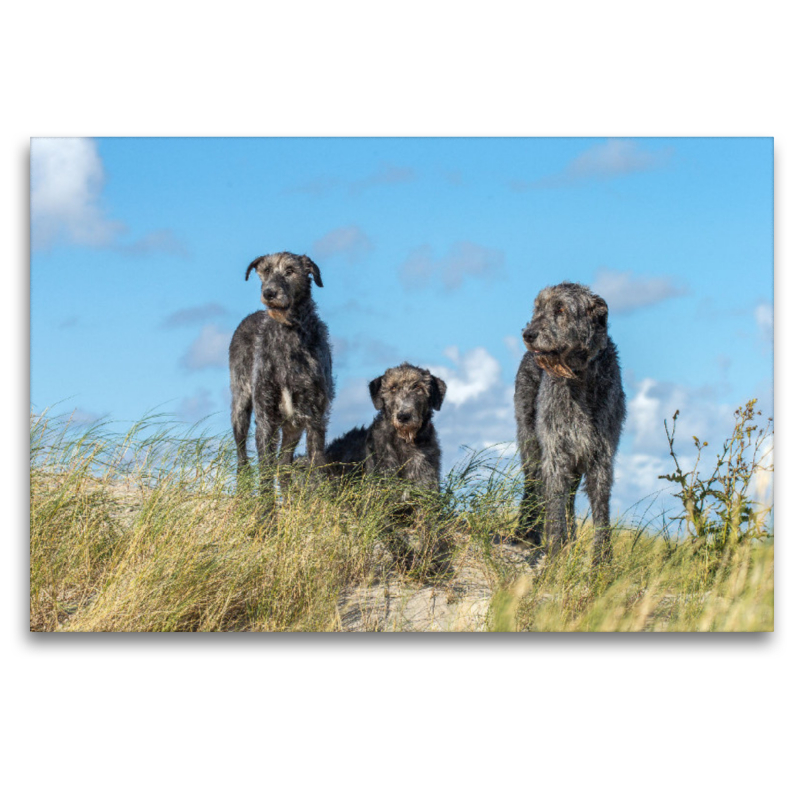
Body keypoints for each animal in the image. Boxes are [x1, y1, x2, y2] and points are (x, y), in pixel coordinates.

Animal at [228, 252, 334, 500]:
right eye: (266, 270)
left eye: (290, 271)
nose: (269, 293)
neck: (288, 335)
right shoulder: (266, 418)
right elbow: (265, 472)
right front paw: (266, 511)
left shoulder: (315, 418)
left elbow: (317, 468)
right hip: (241, 405)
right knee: (243, 460)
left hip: (293, 428)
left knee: (284, 465)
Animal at [516, 282, 628, 564]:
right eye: (538, 308)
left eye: (561, 309)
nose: (528, 334)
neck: (581, 379)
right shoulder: (555, 451)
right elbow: (554, 507)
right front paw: (555, 555)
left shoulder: (601, 456)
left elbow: (601, 509)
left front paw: (602, 561)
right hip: (531, 442)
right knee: (533, 485)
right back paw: (526, 535)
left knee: (568, 497)